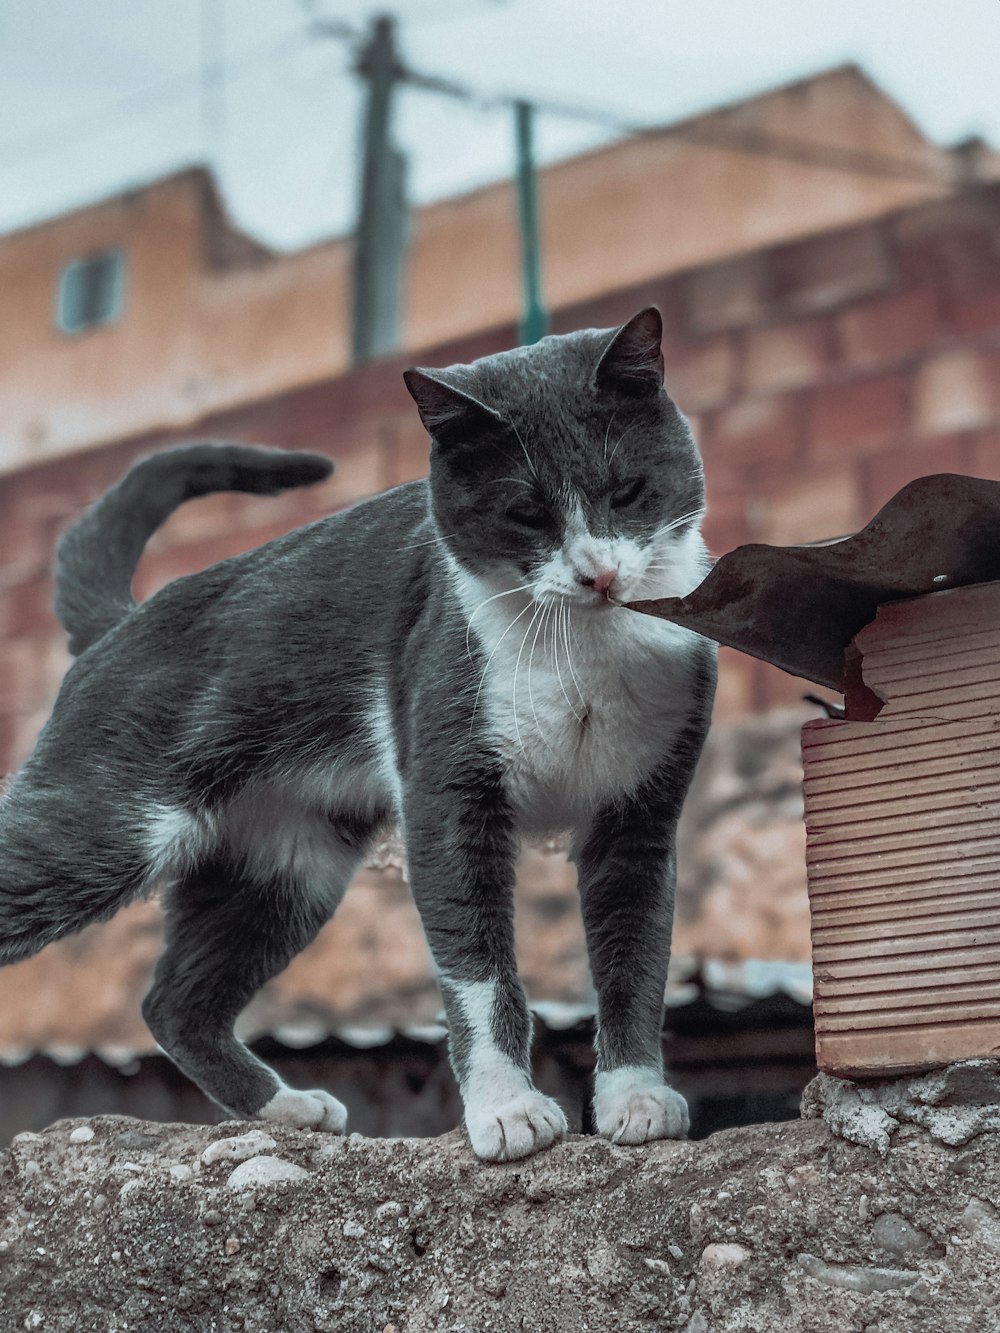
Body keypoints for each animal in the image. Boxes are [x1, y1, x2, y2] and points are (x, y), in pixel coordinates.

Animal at [1, 306, 720, 1162]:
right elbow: (478, 966)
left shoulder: (639, 813)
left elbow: (635, 956)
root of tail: (118, 623)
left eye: (628, 489)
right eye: (525, 512)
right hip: (110, 827)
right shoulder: (449, 794)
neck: (579, 649)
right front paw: (508, 1108)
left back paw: (285, 1108)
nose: (599, 574)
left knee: (174, 1001)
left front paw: (637, 1098)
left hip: (285, 866)